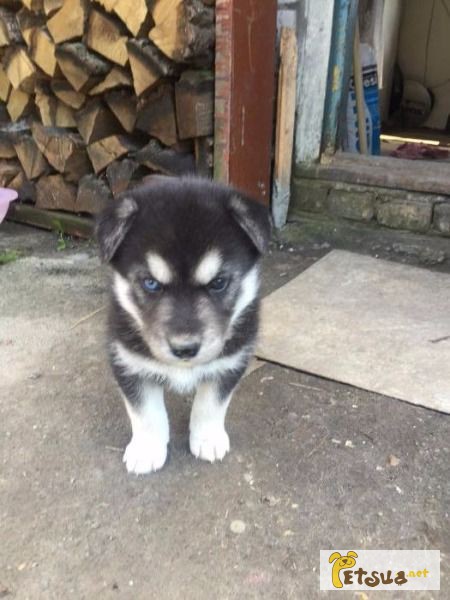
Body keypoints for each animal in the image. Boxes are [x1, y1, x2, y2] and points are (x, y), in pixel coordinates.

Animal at [96, 176, 268, 476]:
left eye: (218, 283)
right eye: (151, 283)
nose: (185, 349)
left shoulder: (231, 361)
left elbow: (211, 404)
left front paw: (208, 439)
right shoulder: (128, 362)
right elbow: (145, 412)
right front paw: (147, 449)